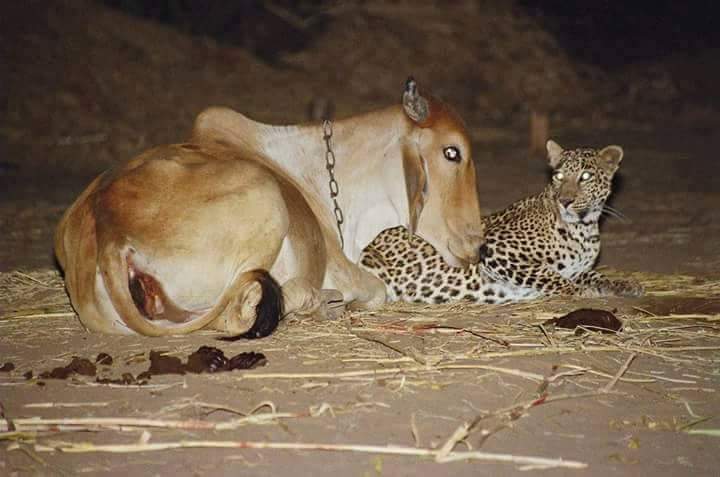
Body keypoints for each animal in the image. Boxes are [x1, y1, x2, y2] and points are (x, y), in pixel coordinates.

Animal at [54, 78, 485, 338]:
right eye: (452, 152)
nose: (477, 245)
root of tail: (110, 230)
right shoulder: (345, 270)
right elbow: (377, 290)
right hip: (268, 201)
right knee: (242, 311)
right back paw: (318, 302)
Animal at [359, 139, 644, 305]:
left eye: (585, 177)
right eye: (559, 176)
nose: (565, 200)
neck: (584, 229)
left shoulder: (579, 268)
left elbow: (595, 274)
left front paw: (625, 284)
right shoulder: (496, 248)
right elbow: (547, 274)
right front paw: (581, 292)